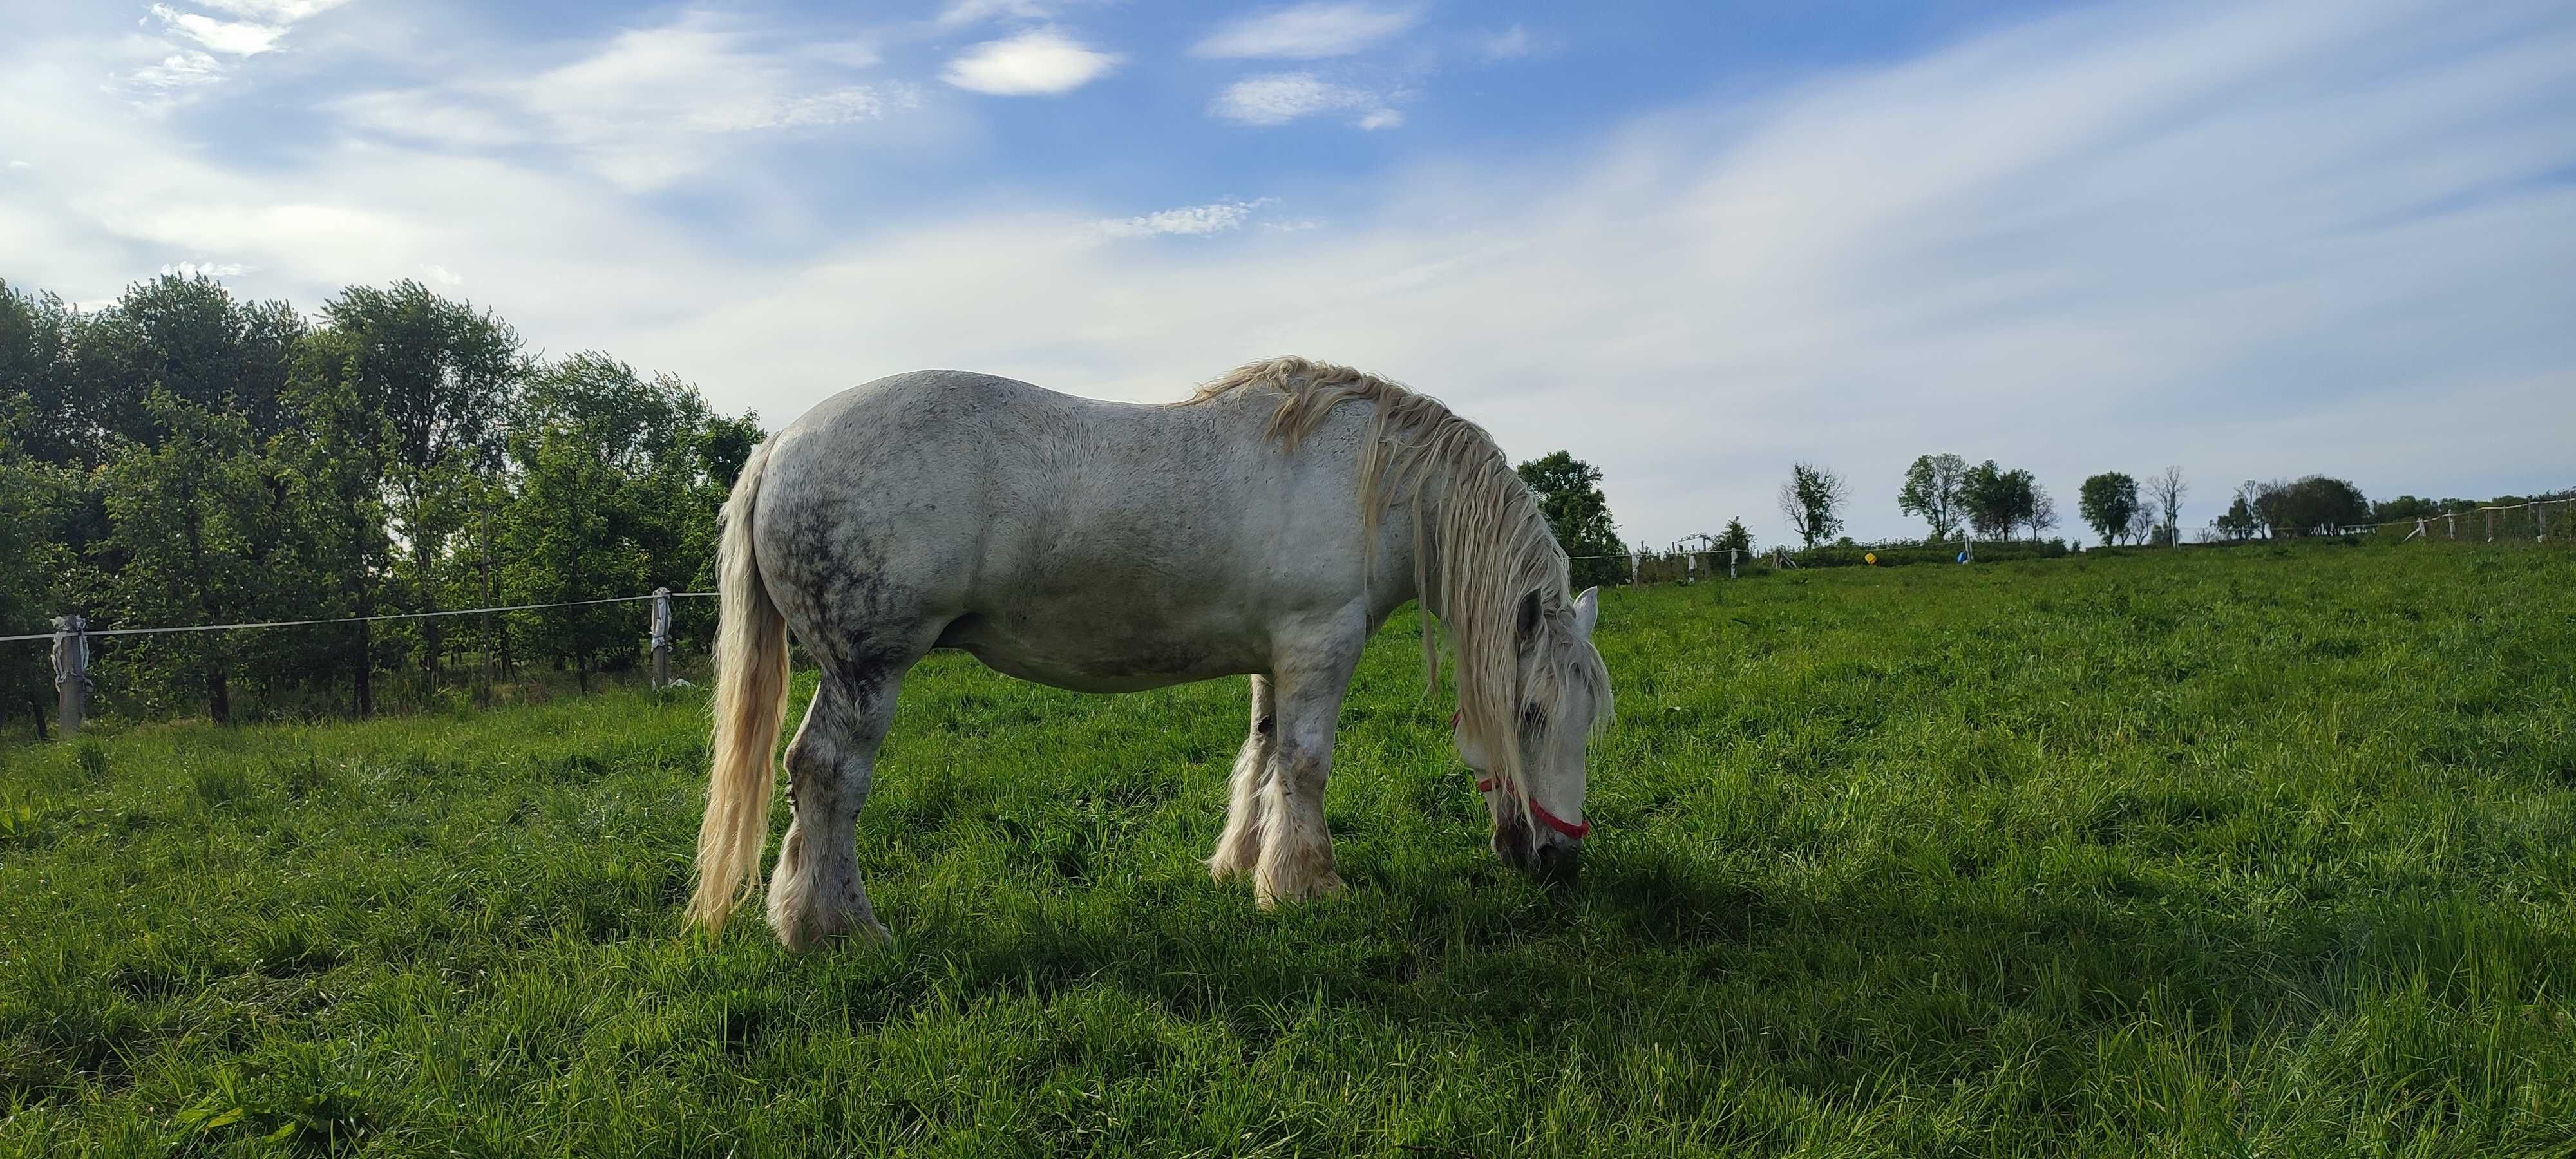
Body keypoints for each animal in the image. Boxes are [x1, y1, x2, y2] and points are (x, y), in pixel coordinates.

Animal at [685, 361, 1607, 953]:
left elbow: (1261, 757)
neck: (1373, 480)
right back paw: (837, 929)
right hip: (867, 669)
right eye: (1530, 712)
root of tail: (779, 446)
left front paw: (1242, 867)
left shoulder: (1273, 655)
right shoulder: (1321, 642)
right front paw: (1306, 888)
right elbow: (1305, 765)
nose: (1559, 861)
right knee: (827, 778)